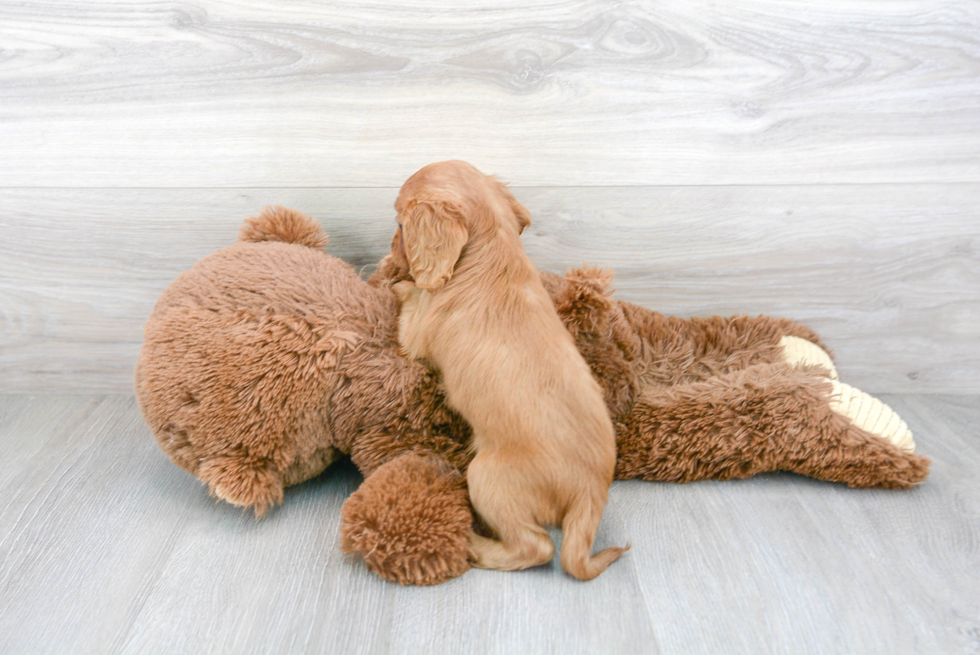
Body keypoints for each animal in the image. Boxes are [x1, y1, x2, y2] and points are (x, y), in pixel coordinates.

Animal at [390, 161, 628, 580]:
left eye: (400, 225)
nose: (388, 250)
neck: (492, 253)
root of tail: (590, 493)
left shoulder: (416, 333)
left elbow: (410, 300)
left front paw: (395, 282)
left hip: (486, 478)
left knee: (537, 548)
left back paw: (475, 545)